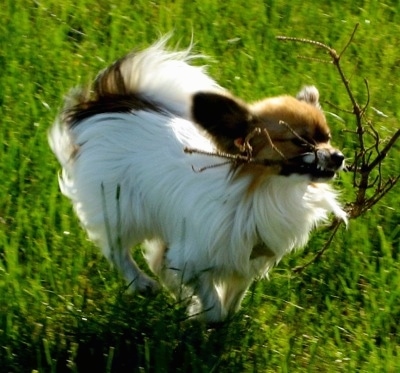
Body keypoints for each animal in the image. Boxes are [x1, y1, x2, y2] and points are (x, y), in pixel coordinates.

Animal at [48, 38, 346, 322]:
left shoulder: (243, 261)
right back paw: (142, 284)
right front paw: (200, 314)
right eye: (301, 142)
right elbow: (213, 306)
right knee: (116, 250)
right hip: (121, 208)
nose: (339, 156)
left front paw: (215, 318)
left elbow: (231, 300)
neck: (264, 191)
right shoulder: (193, 257)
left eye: (327, 137)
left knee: (156, 261)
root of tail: (110, 105)